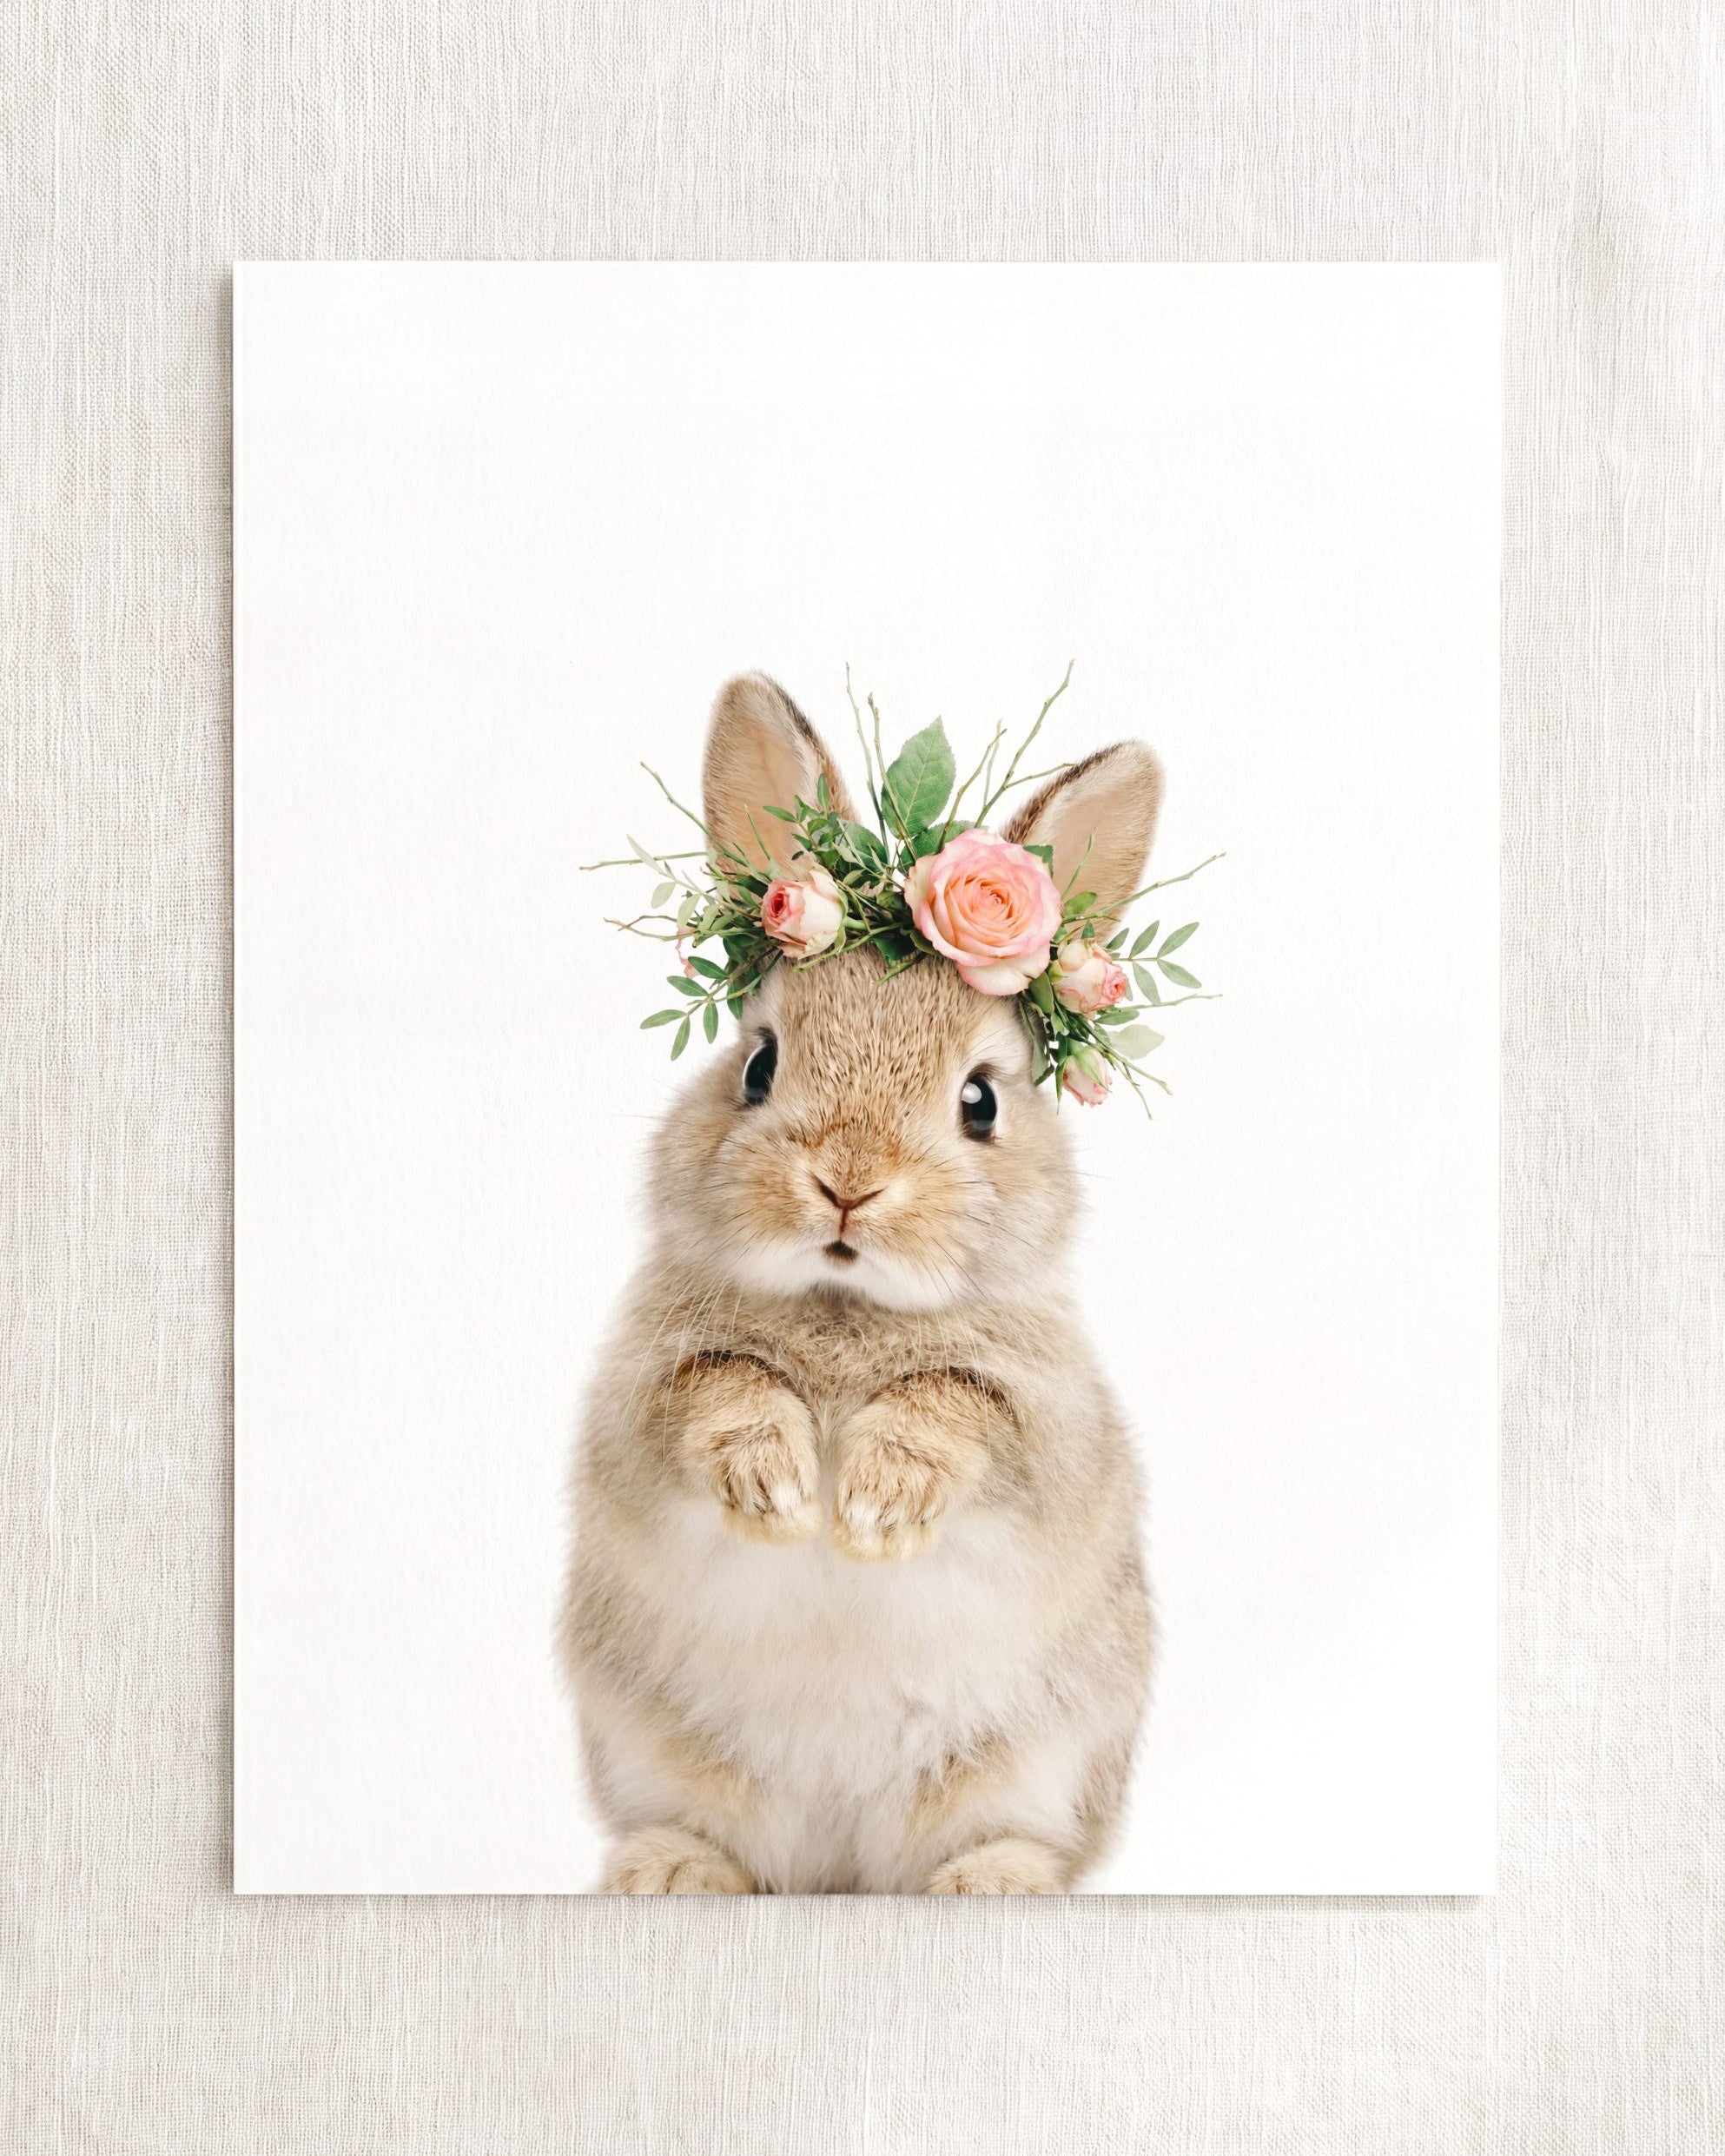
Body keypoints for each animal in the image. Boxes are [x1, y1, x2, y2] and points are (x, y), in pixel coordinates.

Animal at [558, 673, 1162, 1894]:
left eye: (981, 1100)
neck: (848, 1309)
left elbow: (958, 1405)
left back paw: (994, 1885)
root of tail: (839, 1867)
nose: (848, 1183)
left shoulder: (1048, 1425)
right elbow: (718, 1386)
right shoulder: (639, 1399)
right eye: (758, 1065)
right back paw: (669, 1873)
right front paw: (780, 1490)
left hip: (1035, 1766)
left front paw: (876, 1504)